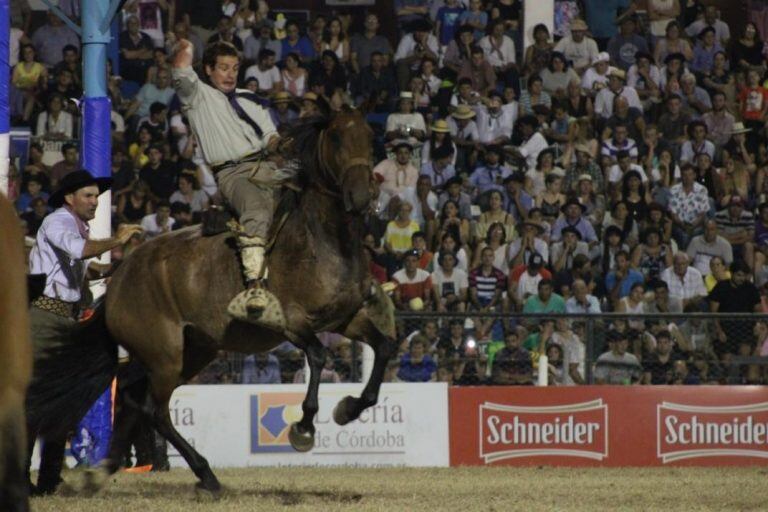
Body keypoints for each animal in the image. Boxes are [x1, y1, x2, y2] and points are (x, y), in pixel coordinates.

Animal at [51, 105, 396, 492]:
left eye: (369, 136)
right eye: (335, 137)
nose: (361, 196)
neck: (322, 241)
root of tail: (120, 277)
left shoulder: (346, 319)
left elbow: (384, 348)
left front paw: (349, 408)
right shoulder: (292, 324)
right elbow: (319, 356)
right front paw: (304, 428)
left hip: (193, 351)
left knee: (132, 398)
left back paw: (103, 471)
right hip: (165, 355)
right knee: (155, 410)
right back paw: (205, 474)